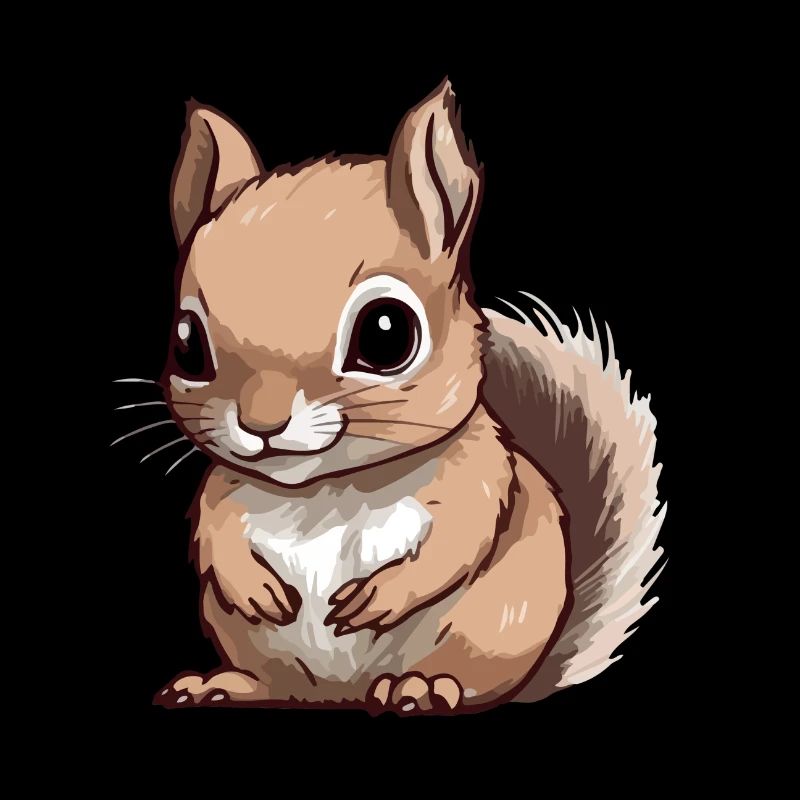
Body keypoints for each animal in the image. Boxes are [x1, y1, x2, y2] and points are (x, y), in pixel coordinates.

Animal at [148, 80, 665, 714]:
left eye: (386, 333)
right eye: (186, 345)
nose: (260, 424)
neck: (327, 490)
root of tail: (342, 698)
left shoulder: (479, 477)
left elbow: (458, 542)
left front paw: (382, 597)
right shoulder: (223, 491)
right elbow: (213, 534)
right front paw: (254, 588)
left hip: (487, 634)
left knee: (463, 678)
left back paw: (420, 687)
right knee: (279, 686)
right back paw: (222, 685)